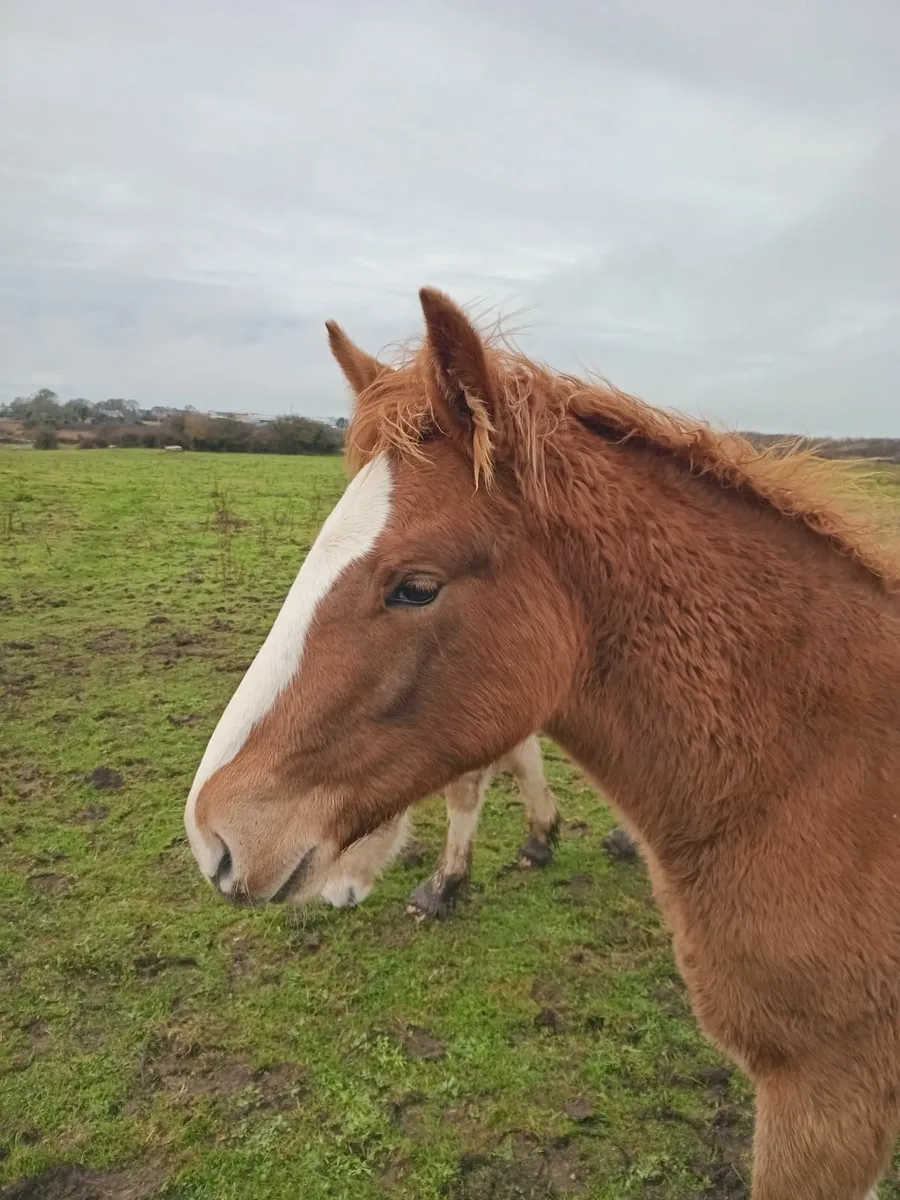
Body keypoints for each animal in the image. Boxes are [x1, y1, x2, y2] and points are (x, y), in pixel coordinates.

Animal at [185, 286, 900, 1199]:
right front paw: (531, 840)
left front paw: (457, 878)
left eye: (416, 587)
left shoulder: (828, 1092)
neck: (817, 784)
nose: (214, 833)